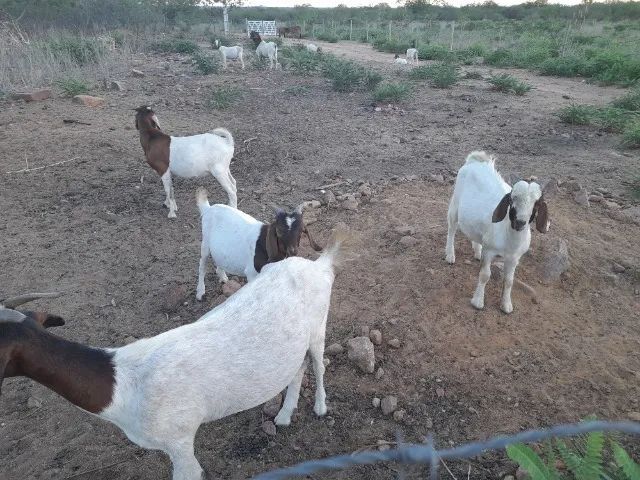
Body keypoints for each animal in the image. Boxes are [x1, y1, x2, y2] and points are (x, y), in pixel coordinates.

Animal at [0, 235, 344, 480]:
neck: (123, 385)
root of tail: (319, 266)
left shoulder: (179, 439)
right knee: (297, 368)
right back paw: (284, 416)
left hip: (319, 326)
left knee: (318, 364)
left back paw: (320, 408)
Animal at [445, 151, 550, 314]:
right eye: (513, 198)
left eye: (537, 203)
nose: (520, 222)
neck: (509, 239)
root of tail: (476, 159)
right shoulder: (489, 251)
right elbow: (484, 275)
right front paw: (478, 301)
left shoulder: (514, 259)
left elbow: (509, 281)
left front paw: (506, 305)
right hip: (455, 205)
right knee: (452, 228)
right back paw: (450, 255)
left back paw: (477, 252)